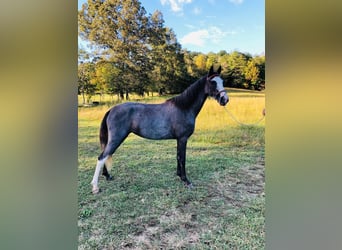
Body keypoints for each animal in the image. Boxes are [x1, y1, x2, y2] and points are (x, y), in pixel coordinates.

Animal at [91, 65, 230, 193]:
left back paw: (107, 176)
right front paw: (186, 181)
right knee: (102, 157)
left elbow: (178, 157)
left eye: (222, 81)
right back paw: (95, 187)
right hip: (116, 139)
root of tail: (111, 109)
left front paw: (179, 176)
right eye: (212, 82)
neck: (184, 108)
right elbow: (182, 158)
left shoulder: (179, 139)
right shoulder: (183, 139)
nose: (225, 99)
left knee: (105, 155)